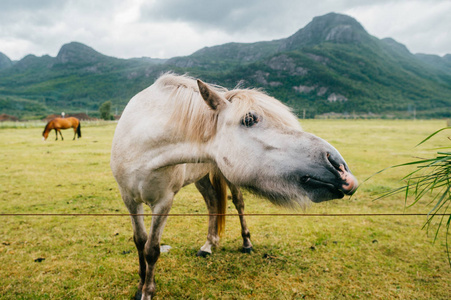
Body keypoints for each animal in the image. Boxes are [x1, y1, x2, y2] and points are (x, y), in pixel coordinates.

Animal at [110, 73, 356, 300]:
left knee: (238, 203)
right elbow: (140, 242)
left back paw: (246, 243)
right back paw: (208, 245)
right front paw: (140, 285)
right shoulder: (129, 199)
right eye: (249, 119)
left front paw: (147, 291)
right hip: (201, 178)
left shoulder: (164, 202)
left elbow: (152, 249)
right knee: (212, 202)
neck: (143, 144)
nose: (339, 166)